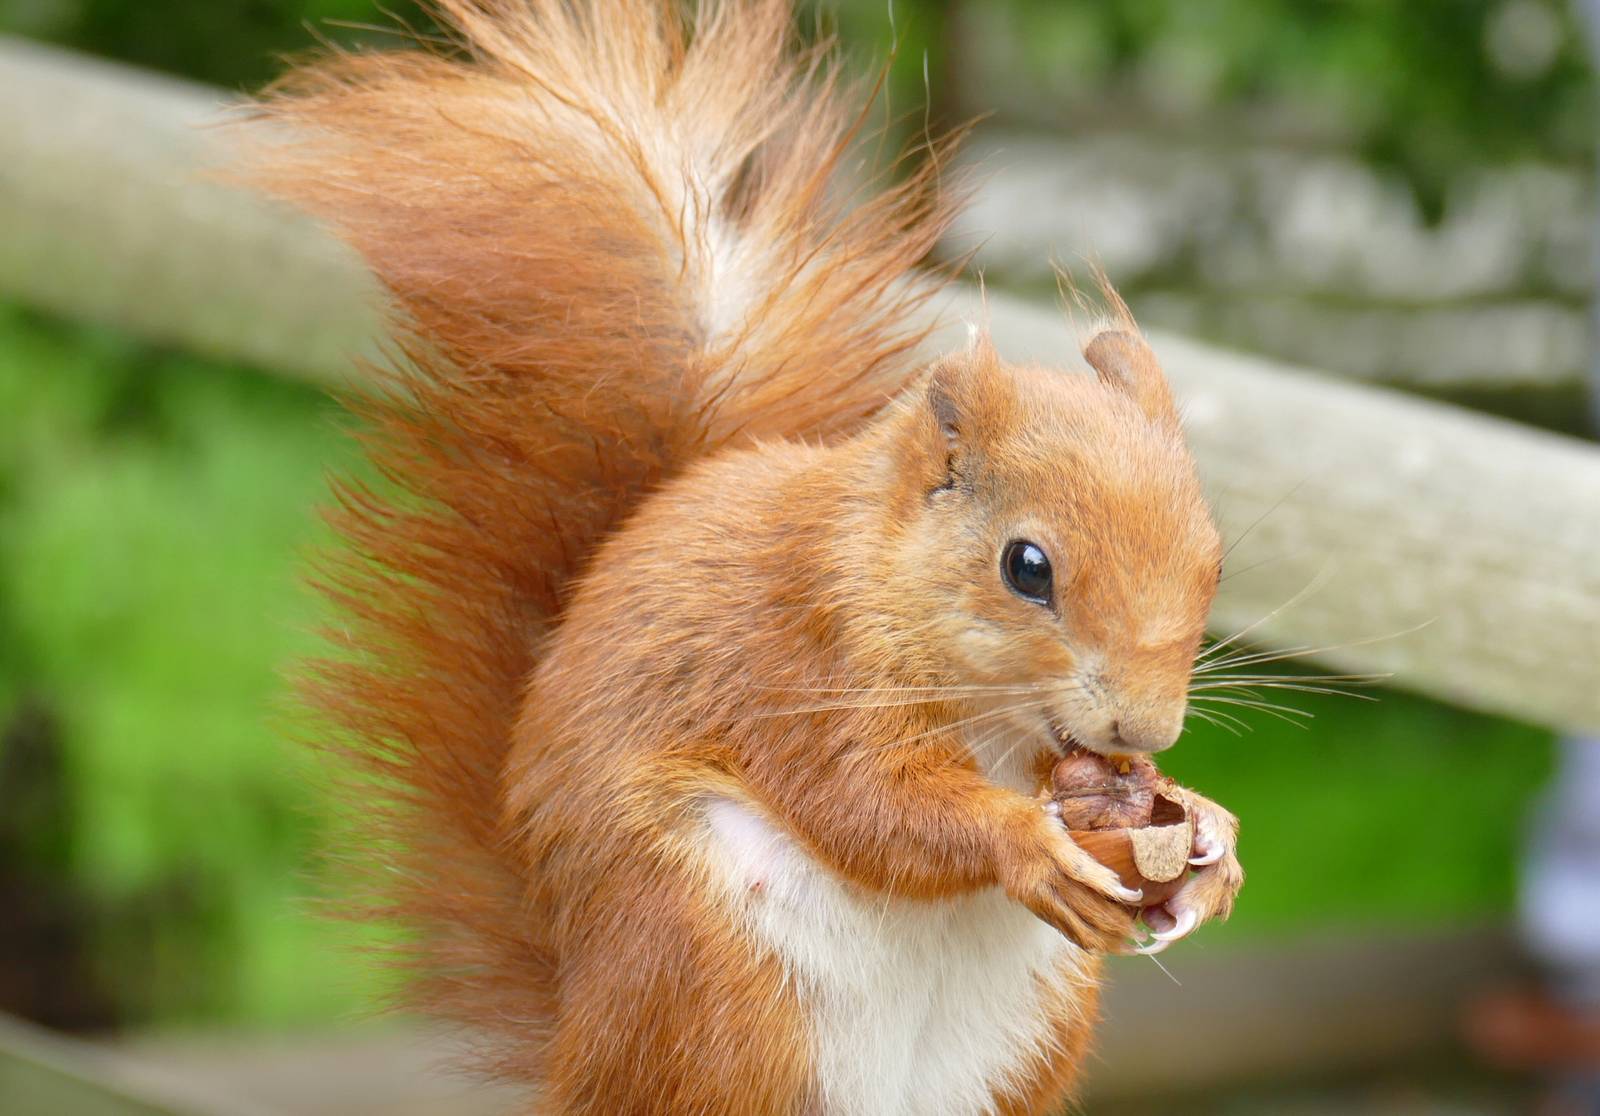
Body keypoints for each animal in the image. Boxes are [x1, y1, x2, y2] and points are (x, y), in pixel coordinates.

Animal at [245, 1, 1244, 1112]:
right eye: (1026, 567)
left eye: (1214, 561)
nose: (1145, 724)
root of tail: (579, 1041)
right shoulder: (801, 661)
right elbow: (872, 804)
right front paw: (1024, 841)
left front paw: (1209, 834)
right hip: (712, 974)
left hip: (1022, 1037)